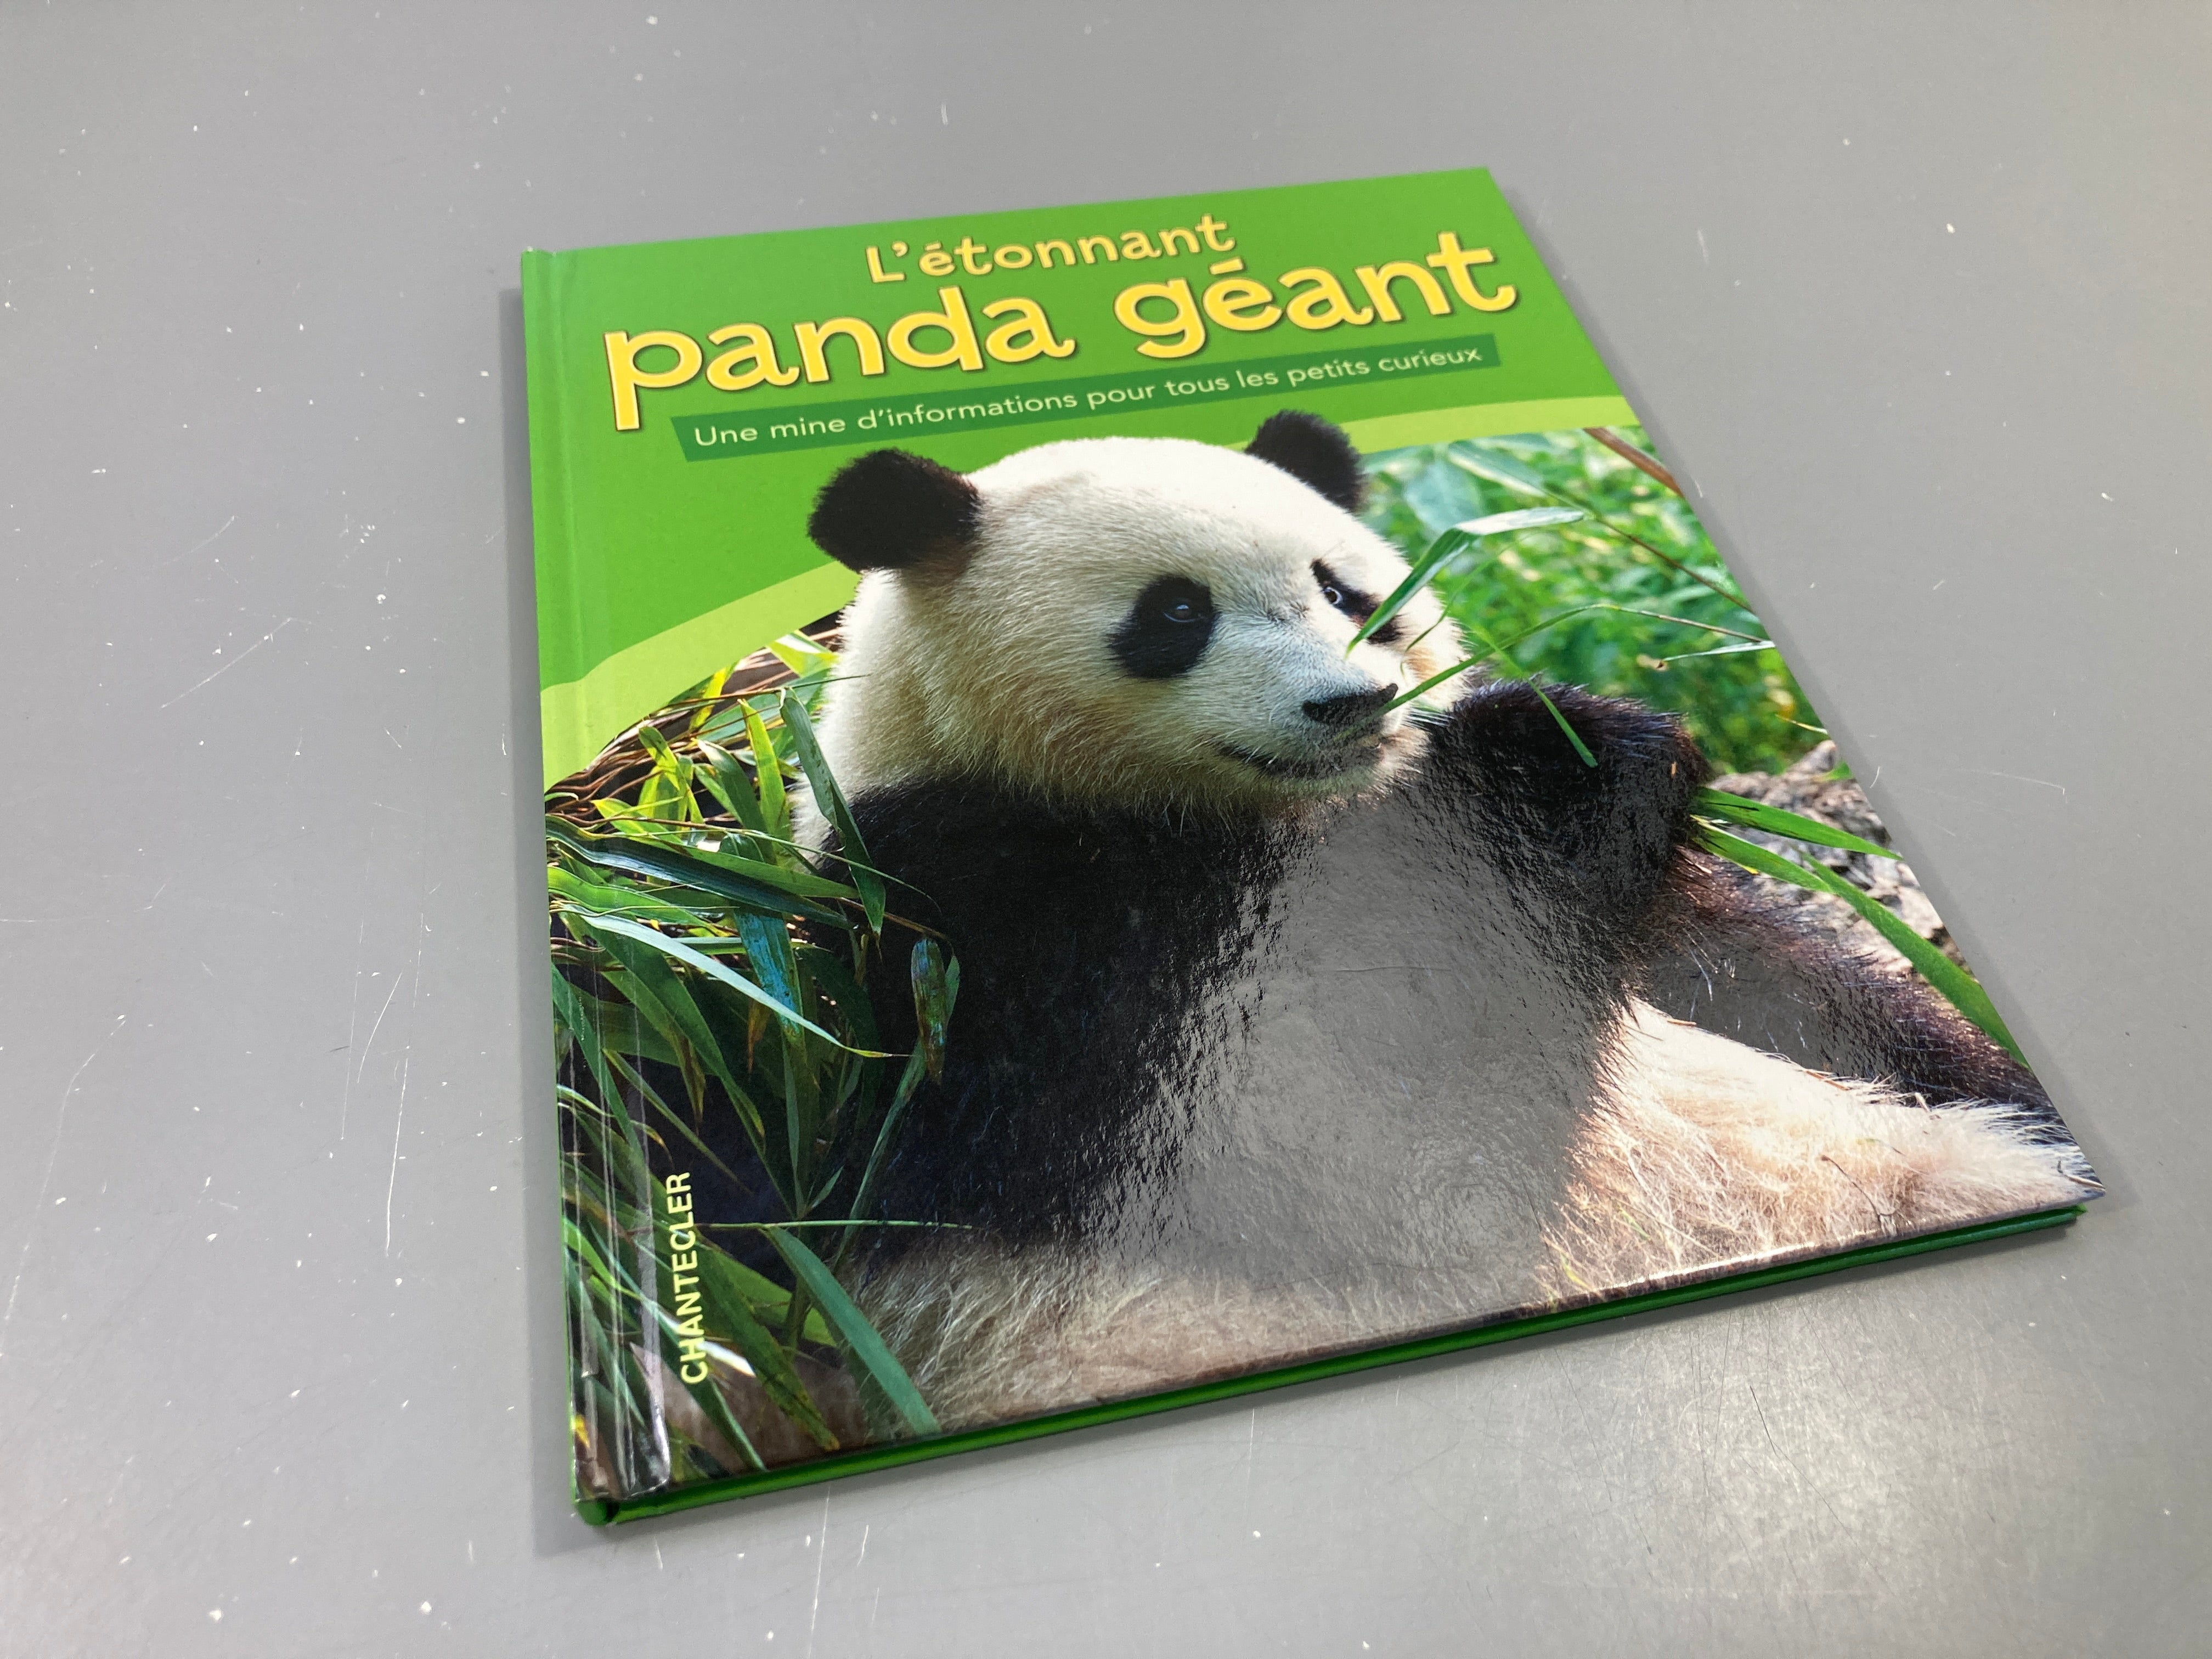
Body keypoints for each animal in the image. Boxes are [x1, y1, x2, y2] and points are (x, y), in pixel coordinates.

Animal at [794, 411, 2096, 1433]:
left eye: (1346, 590)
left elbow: (1800, 991)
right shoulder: (999, 935)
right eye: (1172, 613)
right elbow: (1399, 1174)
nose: (1352, 702)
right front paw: (1540, 749)